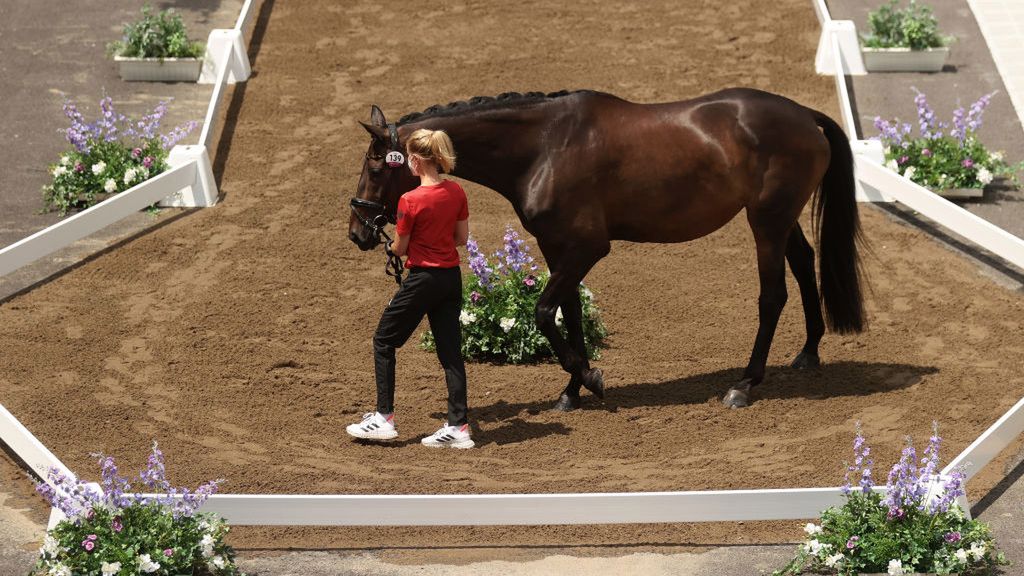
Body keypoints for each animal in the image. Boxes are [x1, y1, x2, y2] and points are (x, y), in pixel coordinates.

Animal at [350, 87, 864, 409]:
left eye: (375, 169)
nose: (358, 231)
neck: (544, 147)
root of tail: (806, 116)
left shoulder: (588, 247)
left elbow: (543, 311)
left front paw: (590, 378)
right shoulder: (557, 246)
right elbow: (569, 312)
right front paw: (573, 389)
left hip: (766, 222)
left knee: (772, 296)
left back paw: (744, 384)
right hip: (779, 220)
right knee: (805, 263)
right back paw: (809, 352)